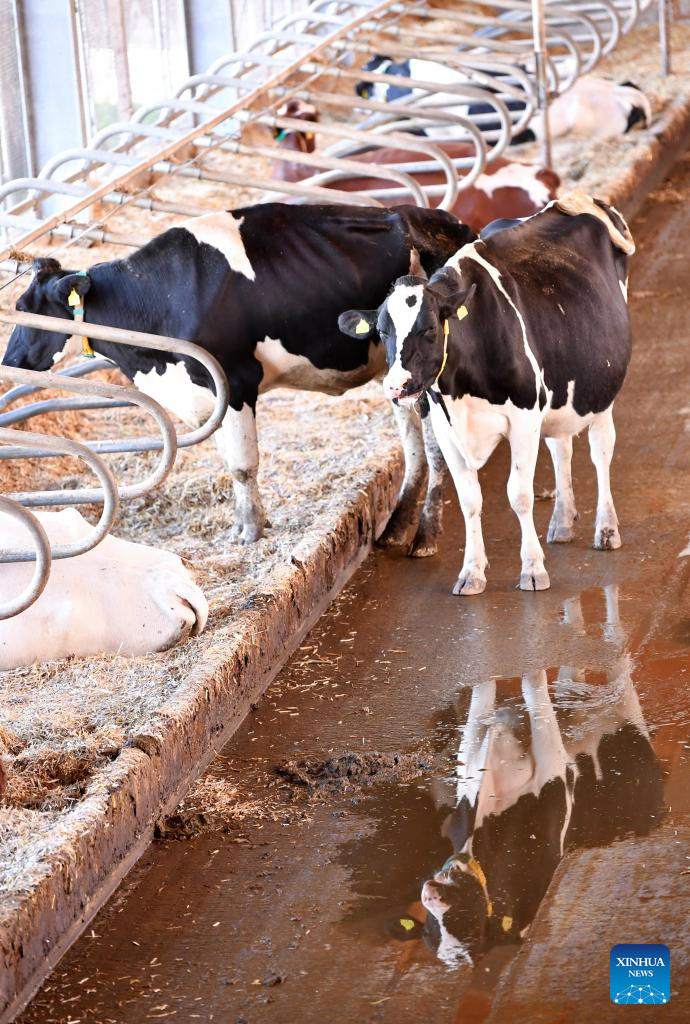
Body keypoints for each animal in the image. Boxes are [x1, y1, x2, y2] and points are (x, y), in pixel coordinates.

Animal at [2, 204, 475, 557]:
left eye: (27, 310)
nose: (11, 359)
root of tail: (436, 220)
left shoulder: (235, 382)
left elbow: (244, 465)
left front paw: (251, 532)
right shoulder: (208, 394)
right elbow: (230, 462)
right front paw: (245, 525)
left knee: (437, 447)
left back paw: (425, 536)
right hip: (395, 378)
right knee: (413, 444)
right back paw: (396, 526)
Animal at [337, 192, 634, 593]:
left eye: (430, 328)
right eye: (382, 331)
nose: (396, 385)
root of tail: (572, 201)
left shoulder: (524, 418)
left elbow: (519, 494)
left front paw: (533, 569)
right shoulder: (447, 430)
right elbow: (469, 500)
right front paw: (472, 572)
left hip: (600, 388)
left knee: (600, 452)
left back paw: (605, 529)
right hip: (559, 389)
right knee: (561, 448)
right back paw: (562, 522)